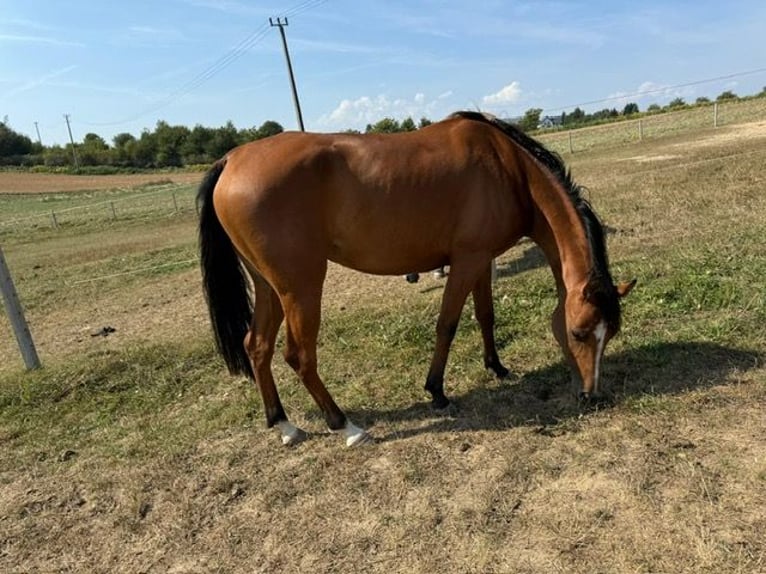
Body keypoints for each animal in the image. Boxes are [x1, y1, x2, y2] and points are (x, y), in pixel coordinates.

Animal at [198, 110, 636, 448]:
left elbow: (486, 316)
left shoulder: (481, 261)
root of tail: (232, 159)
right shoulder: (466, 262)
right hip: (301, 286)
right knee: (299, 356)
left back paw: (285, 425)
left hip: (269, 286)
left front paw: (496, 367)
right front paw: (437, 391)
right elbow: (448, 324)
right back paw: (346, 426)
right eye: (579, 333)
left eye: (610, 333)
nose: (591, 395)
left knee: (257, 346)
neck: (508, 168)